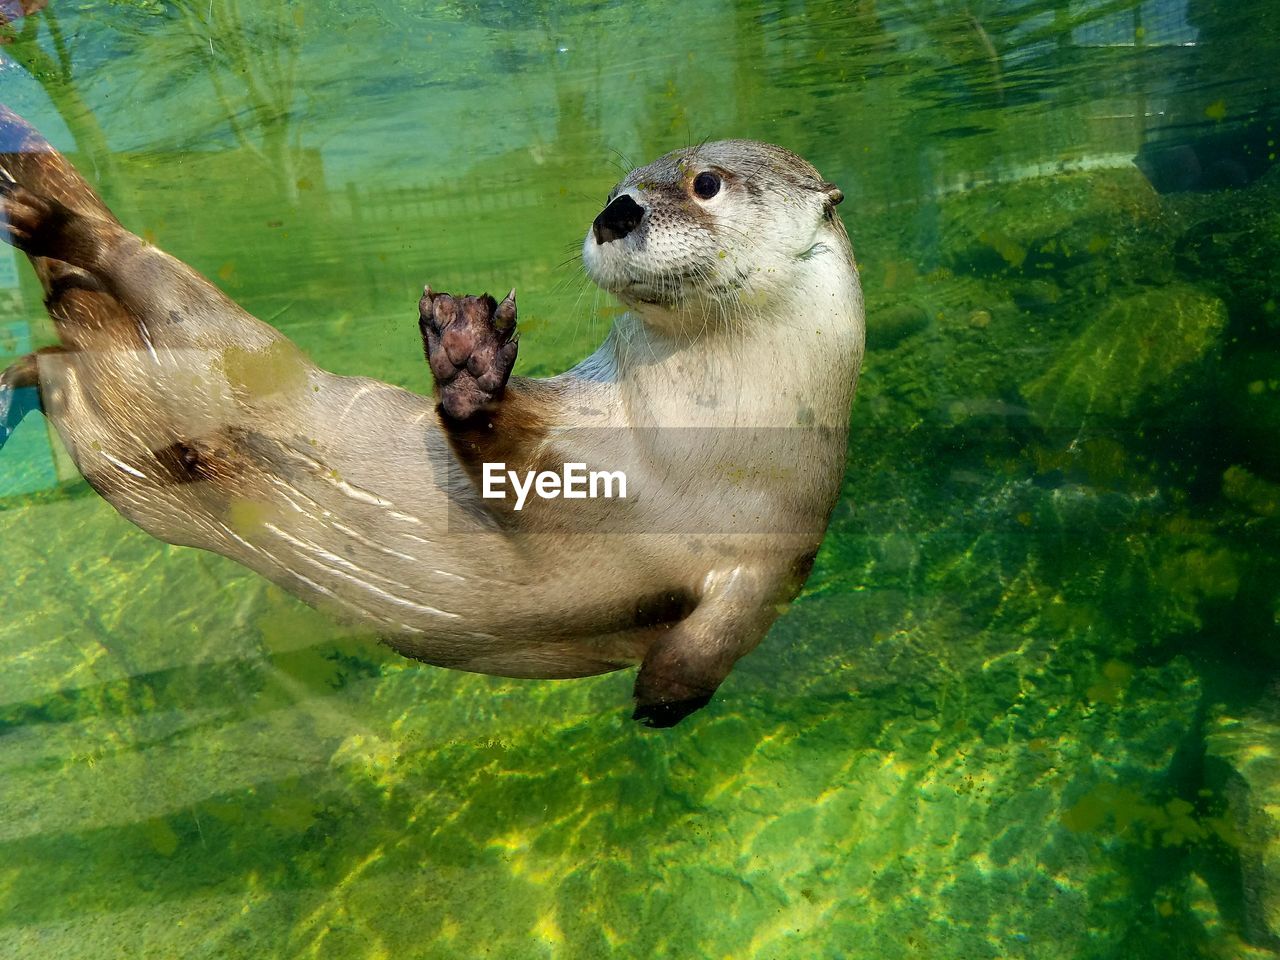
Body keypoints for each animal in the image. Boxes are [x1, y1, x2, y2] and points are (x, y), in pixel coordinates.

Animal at [0, 108, 865, 727]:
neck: (699, 442)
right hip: (213, 334)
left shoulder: (779, 551)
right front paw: (467, 362)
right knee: (115, 261)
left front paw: (661, 697)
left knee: (59, 353)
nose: (616, 213)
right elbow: (499, 446)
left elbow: (722, 638)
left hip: (124, 459)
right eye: (617, 186)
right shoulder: (566, 443)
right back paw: (45, 219)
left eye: (705, 182)